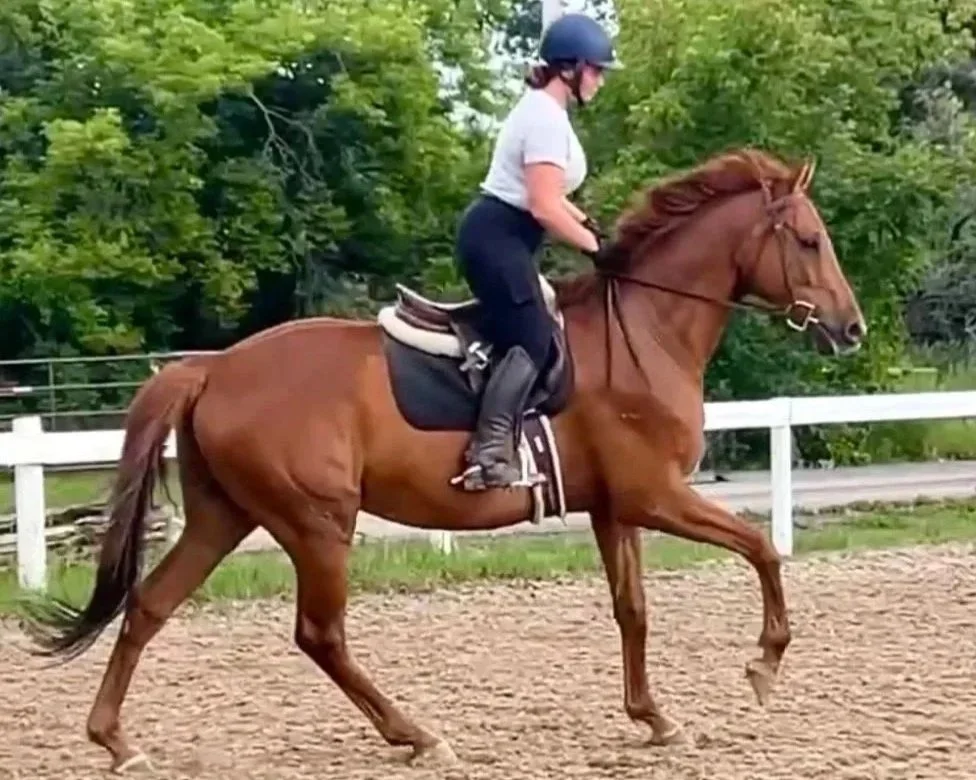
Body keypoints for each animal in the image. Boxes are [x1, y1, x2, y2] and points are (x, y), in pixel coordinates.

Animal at [20, 147, 866, 773]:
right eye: (809, 241)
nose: (850, 328)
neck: (647, 332)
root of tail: (213, 367)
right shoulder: (657, 495)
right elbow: (761, 548)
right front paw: (764, 666)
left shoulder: (614, 507)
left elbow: (634, 610)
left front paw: (655, 719)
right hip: (318, 523)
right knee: (319, 634)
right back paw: (417, 735)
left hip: (224, 515)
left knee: (150, 605)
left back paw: (117, 742)